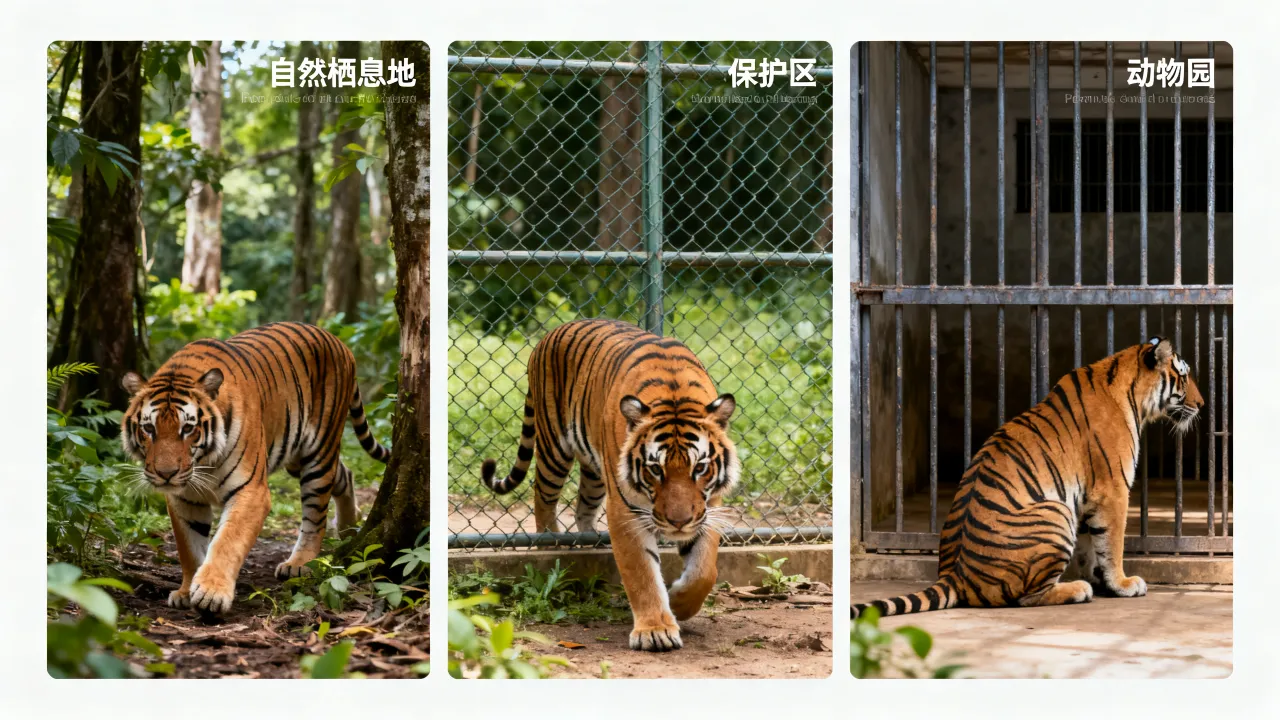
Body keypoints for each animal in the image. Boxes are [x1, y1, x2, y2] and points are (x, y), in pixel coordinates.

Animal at [120, 322, 390, 614]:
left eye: (188, 428)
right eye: (149, 428)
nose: (166, 474)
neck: (203, 462)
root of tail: (340, 344)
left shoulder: (251, 491)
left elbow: (227, 541)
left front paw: (211, 592)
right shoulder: (184, 498)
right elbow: (189, 548)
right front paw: (185, 591)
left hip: (319, 452)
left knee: (315, 515)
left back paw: (300, 563)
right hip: (297, 457)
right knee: (345, 475)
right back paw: (349, 529)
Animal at [481, 318, 740, 651]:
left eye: (700, 468)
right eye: (655, 469)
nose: (678, 523)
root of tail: (550, 334)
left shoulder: (708, 507)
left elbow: (704, 570)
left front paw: (680, 604)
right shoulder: (626, 510)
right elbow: (641, 573)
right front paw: (655, 630)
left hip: (594, 471)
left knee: (582, 507)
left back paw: (590, 541)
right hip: (554, 447)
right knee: (543, 497)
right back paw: (550, 544)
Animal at [852, 337, 1203, 618]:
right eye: (1184, 376)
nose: (1201, 404)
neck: (1133, 396)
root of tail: (954, 575)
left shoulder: (1085, 498)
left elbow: (1091, 544)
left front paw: (1099, 577)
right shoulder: (1112, 490)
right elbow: (1111, 543)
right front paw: (1122, 584)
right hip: (1055, 513)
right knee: (1025, 598)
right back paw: (1077, 590)